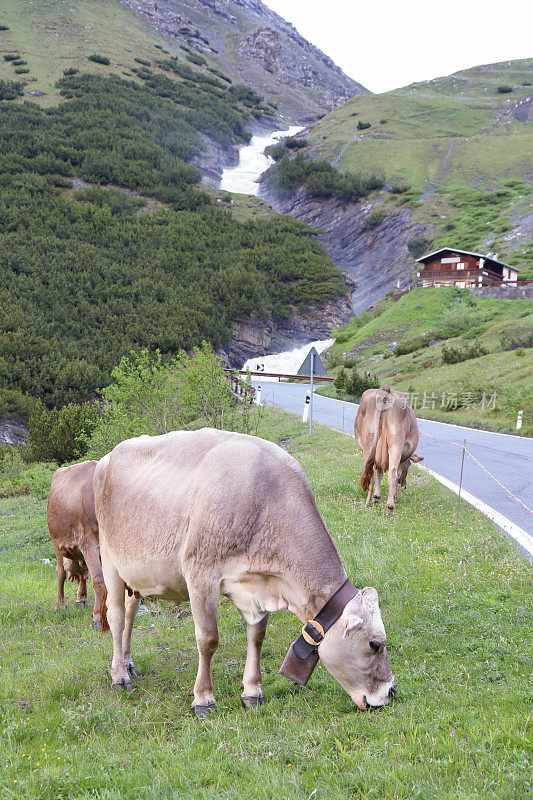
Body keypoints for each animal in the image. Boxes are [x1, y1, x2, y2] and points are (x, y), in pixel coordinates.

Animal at [46, 460, 104, 628]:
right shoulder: (88, 542)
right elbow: (98, 579)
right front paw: (98, 616)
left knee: (82, 570)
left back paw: (81, 598)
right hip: (57, 543)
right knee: (60, 573)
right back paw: (59, 605)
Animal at [93, 428, 394, 716]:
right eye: (375, 644)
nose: (390, 693)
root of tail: (106, 458)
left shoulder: (257, 585)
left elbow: (257, 637)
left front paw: (252, 691)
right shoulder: (200, 574)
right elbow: (208, 640)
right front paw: (203, 698)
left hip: (134, 574)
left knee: (130, 613)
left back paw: (128, 663)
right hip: (109, 560)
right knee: (117, 616)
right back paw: (119, 675)